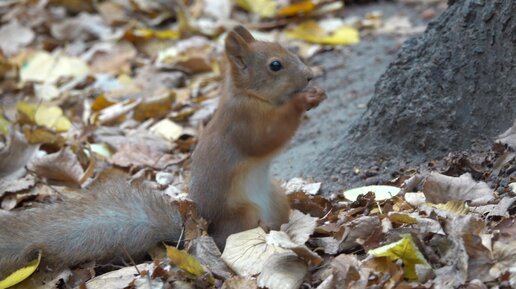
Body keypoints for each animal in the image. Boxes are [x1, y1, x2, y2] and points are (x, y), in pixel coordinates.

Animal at [0, 26, 324, 280]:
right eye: (275, 65)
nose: (310, 76)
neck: (248, 96)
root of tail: (201, 230)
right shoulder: (242, 123)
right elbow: (265, 139)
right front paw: (303, 101)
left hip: (275, 197)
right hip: (243, 215)